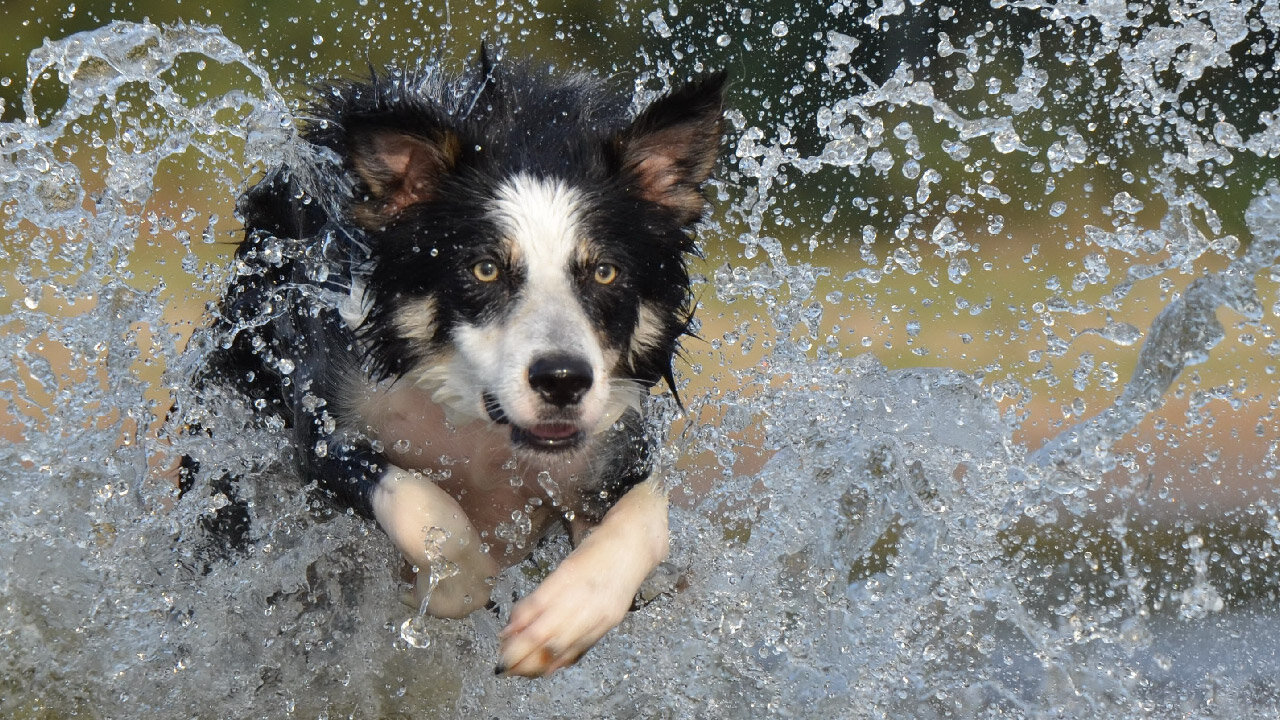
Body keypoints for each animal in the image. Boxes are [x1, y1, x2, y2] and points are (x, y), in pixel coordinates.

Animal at [195, 53, 727, 676]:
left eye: (605, 272)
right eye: (484, 269)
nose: (563, 380)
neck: (478, 424)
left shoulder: (614, 443)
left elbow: (647, 513)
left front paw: (564, 617)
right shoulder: (326, 424)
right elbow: (431, 512)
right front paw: (451, 584)